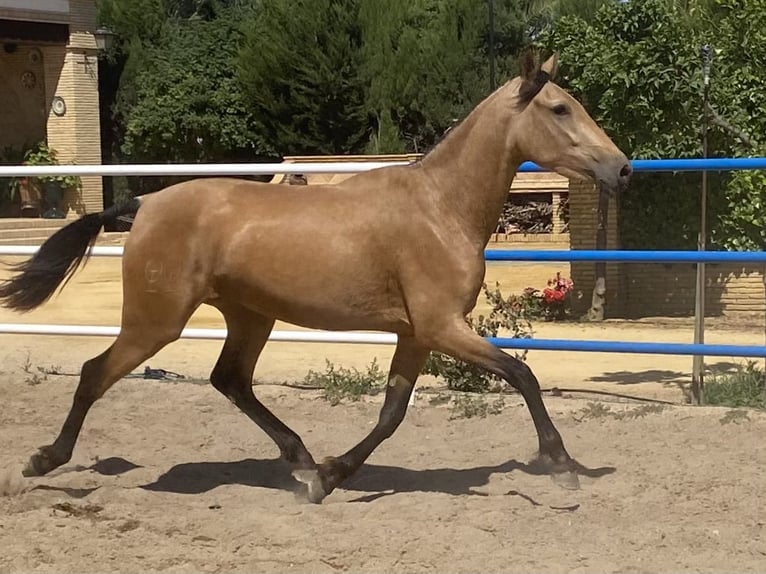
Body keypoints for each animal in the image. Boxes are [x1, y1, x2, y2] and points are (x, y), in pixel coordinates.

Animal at [0, 51, 632, 506]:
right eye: (559, 109)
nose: (622, 168)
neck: (440, 207)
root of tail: (144, 204)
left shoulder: (416, 334)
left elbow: (391, 413)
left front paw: (330, 475)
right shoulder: (442, 326)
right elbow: (522, 375)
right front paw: (562, 467)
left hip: (250, 316)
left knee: (230, 381)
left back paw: (302, 463)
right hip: (156, 322)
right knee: (94, 373)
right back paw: (43, 460)